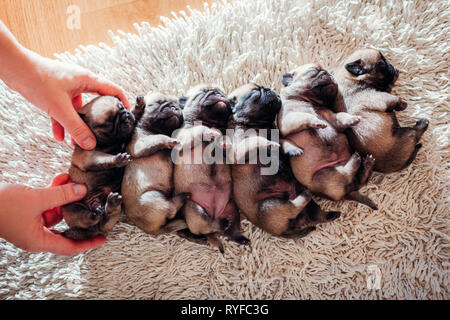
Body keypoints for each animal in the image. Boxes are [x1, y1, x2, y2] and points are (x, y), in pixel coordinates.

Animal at [60, 96, 136, 239]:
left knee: (104, 222)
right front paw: (118, 159)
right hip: (70, 208)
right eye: (107, 123)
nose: (125, 115)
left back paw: (110, 206)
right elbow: (104, 158)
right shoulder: (89, 156)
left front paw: (138, 108)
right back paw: (95, 214)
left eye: (122, 107)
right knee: (91, 220)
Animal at [120, 92, 187, 235]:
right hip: (152, 196)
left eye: (178, 105)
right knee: (170, 208)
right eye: (158, 103)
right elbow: (159, 138)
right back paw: (181, 198)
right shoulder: (141, 144)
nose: (174, 108)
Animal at [173, 84, 250, 252]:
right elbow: (198, 131)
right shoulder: (182, 140)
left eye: (222, 93)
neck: (210, 122)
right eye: (203, 93)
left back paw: (240, 237)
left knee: (231, 230)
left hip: (232, 209)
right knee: (209, 224)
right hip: (194, 208)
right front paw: (211, 132)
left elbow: (224, 138)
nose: (218, 94)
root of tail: (215, 214)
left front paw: (223, 140)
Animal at [230, 83, 340, 238]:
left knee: (315, 215)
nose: (268, 89)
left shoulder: (280, 137)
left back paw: (328, 214)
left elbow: (284, 142)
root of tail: (283, 231)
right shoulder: (240, 150)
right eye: (256, 92)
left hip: (302, 206)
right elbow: (257, 140)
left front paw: (292, 149)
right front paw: (269, 144)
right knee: (293, 206)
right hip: (270, 203)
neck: (261, 125)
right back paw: (305, 195)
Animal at [278, 65, 376, 210]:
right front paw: (315, 121)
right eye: (313, 71)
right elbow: (304, 116)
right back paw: (355, 162)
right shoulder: (288, 120)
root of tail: (347, 193)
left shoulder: (333, 119)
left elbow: (341, 116)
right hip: (324, 174)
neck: (309, 102)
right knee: (345, 175)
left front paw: (351, 118)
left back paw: (366, 165)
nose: (328, 74)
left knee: (358, 180)